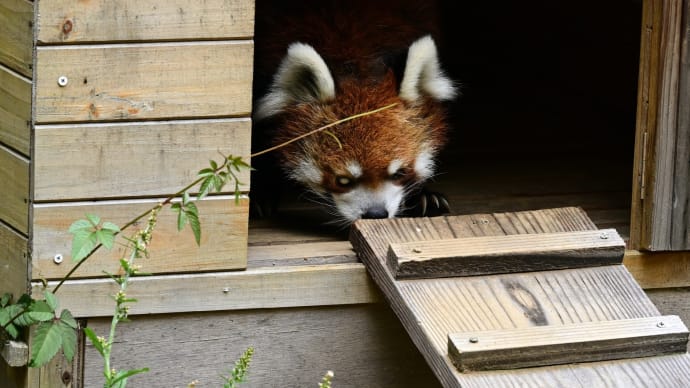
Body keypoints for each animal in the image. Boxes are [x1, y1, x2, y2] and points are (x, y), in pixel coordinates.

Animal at [250, 0, 454, 223]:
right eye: (342, 180)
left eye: (399, 173)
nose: (376, 214)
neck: (355, 57)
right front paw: (259, 192)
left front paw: (422, 196)